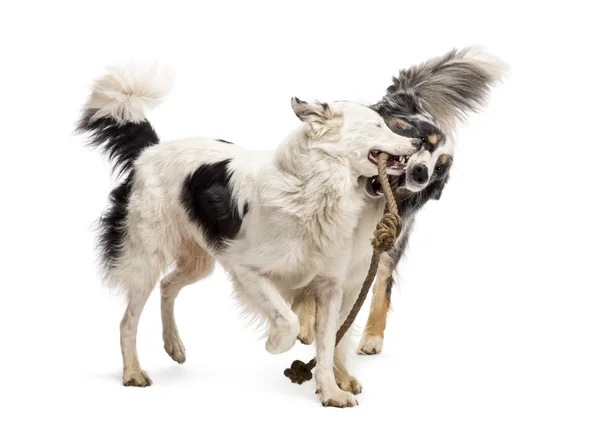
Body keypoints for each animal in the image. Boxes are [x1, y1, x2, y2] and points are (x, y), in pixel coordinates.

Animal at [78, 64, 418, 406]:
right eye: (377, 126)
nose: (417, 142)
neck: (312, 187)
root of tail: (149, 151)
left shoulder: (331, 285)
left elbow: (327, 343)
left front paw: (331, 391)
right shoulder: (247, 270)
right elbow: (289, 320)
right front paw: (275, 343)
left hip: (199, 259)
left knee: (168, 285)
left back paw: (173, 345)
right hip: (146, 256)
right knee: (128, 320)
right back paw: (133, 373)